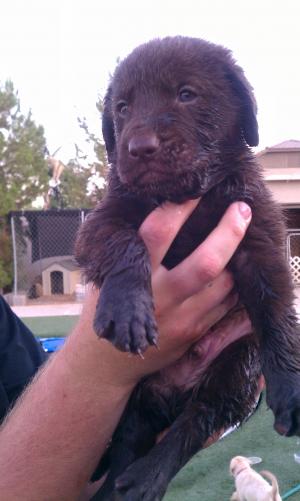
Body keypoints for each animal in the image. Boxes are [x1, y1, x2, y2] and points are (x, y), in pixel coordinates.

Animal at [76, 37, 300, 498]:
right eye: (122, 107)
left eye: (186, 94)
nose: (139, 147)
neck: (186, 195)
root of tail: (171, 391)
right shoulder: (103, 219)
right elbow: (124, 243)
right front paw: (128, 312)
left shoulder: (259, 236)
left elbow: (275, 314)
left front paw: (289, 385)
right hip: (136, 398)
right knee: (128, 444)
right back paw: (125, 485)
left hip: (236, 366)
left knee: (196, 421)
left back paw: (146, 476)